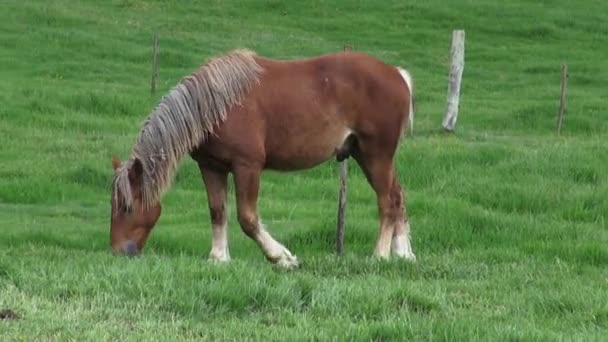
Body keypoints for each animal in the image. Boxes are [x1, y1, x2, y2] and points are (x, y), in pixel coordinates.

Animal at [109, 48, 416, 268]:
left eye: (126, 206)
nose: (117, 251)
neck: (214, 105)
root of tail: (397, 74)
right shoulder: (211, 167)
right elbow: (218, 212)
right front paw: (218, 258)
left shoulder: (247, 166)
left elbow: (247, 218)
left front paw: (281, 257)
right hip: (366, 155)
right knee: (398, 195)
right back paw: (403, 253)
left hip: (376, 155)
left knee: (387, 200)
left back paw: (380, 255)